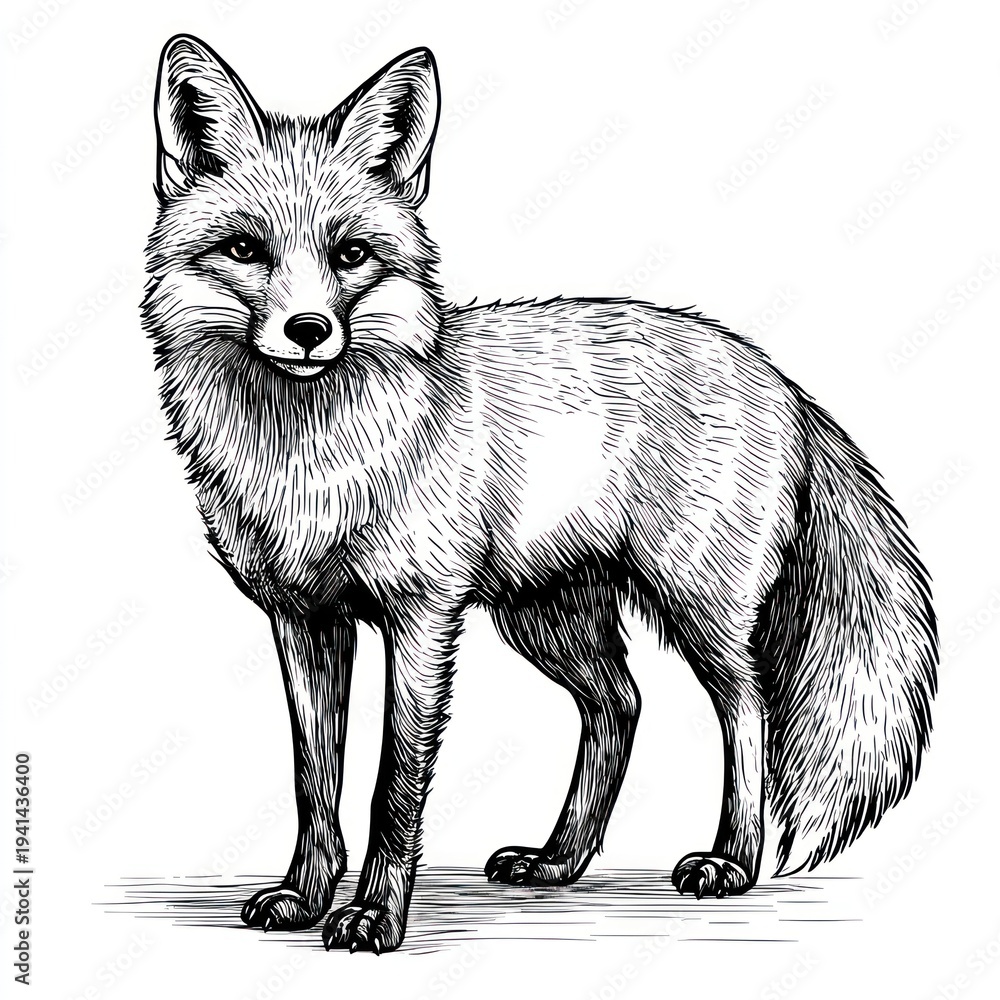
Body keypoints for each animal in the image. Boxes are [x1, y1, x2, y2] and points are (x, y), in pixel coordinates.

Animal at [142, 35, 938, 953]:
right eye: (245, 250)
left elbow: (393, 787)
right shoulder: (303, 620)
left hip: (697, 607)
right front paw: (305, 896)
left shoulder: (422, 617)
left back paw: (733, 860)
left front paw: (374, 915)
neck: (314, 466)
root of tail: (776, 374)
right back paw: (561, 859)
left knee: (749, 712)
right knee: (622, 704)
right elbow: (316, 780)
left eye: (351, 256)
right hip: (547, 617)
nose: (308, 332)